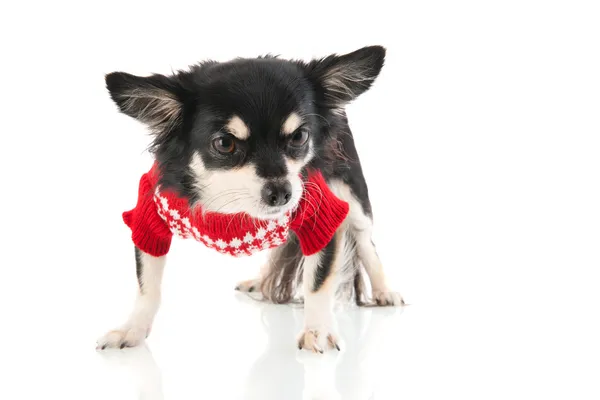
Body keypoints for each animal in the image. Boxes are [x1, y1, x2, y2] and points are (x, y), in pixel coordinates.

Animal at [98, 46, 406, 354]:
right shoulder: (150, 216)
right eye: (225, 143)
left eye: (300, 136)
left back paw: (384, 291)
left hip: (353, 195)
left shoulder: (324, 214)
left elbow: (317, 282)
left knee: (365, 241)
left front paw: (316, 329)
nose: (282, 193)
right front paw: (132, 328)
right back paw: (260, 281)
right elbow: (147, 286)